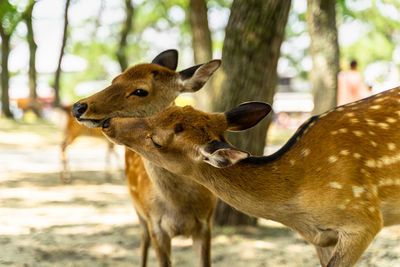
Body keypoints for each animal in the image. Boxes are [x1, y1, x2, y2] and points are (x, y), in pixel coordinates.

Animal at [72, 50, 222, 267]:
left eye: (140, 91)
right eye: (115, 79)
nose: (78, 107)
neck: (179, 207)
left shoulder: (206, 223)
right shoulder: (155, 224)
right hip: (138, 210)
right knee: (143, 241)